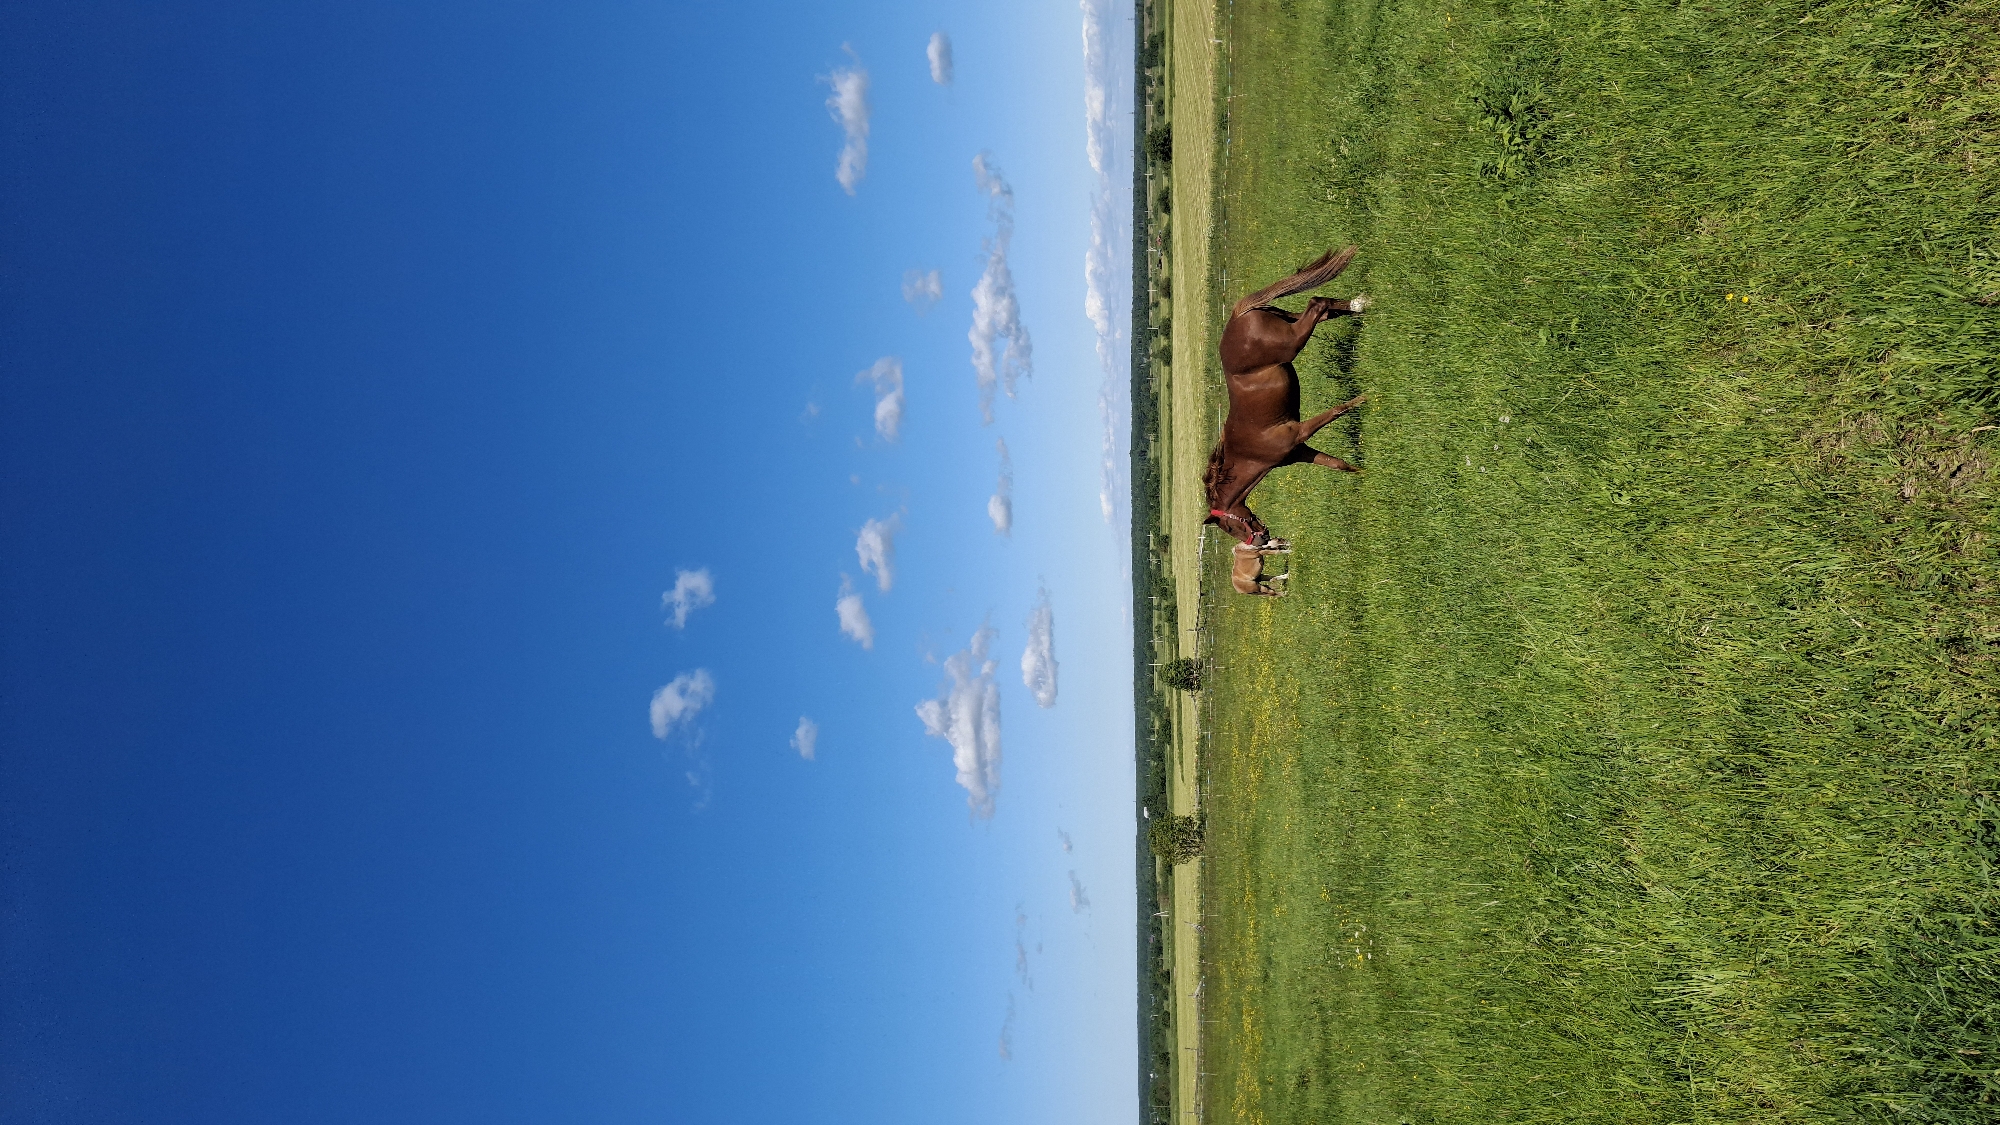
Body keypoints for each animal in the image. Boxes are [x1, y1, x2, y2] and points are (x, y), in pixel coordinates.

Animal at [1202, 246, 1368, 553]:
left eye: (1229, 527)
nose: (1263, 541)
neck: (1251, 451)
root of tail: (1238, 314)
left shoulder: (1300, 432)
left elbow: (1336, 411)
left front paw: (1364, 398)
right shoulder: (1300, 451)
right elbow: (1338, 464)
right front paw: (1366, 473)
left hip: (1293, 340)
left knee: (1317, 303)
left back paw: (1358, 304)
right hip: (1288, 320)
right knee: (1323, 311)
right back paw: (1362, 304)